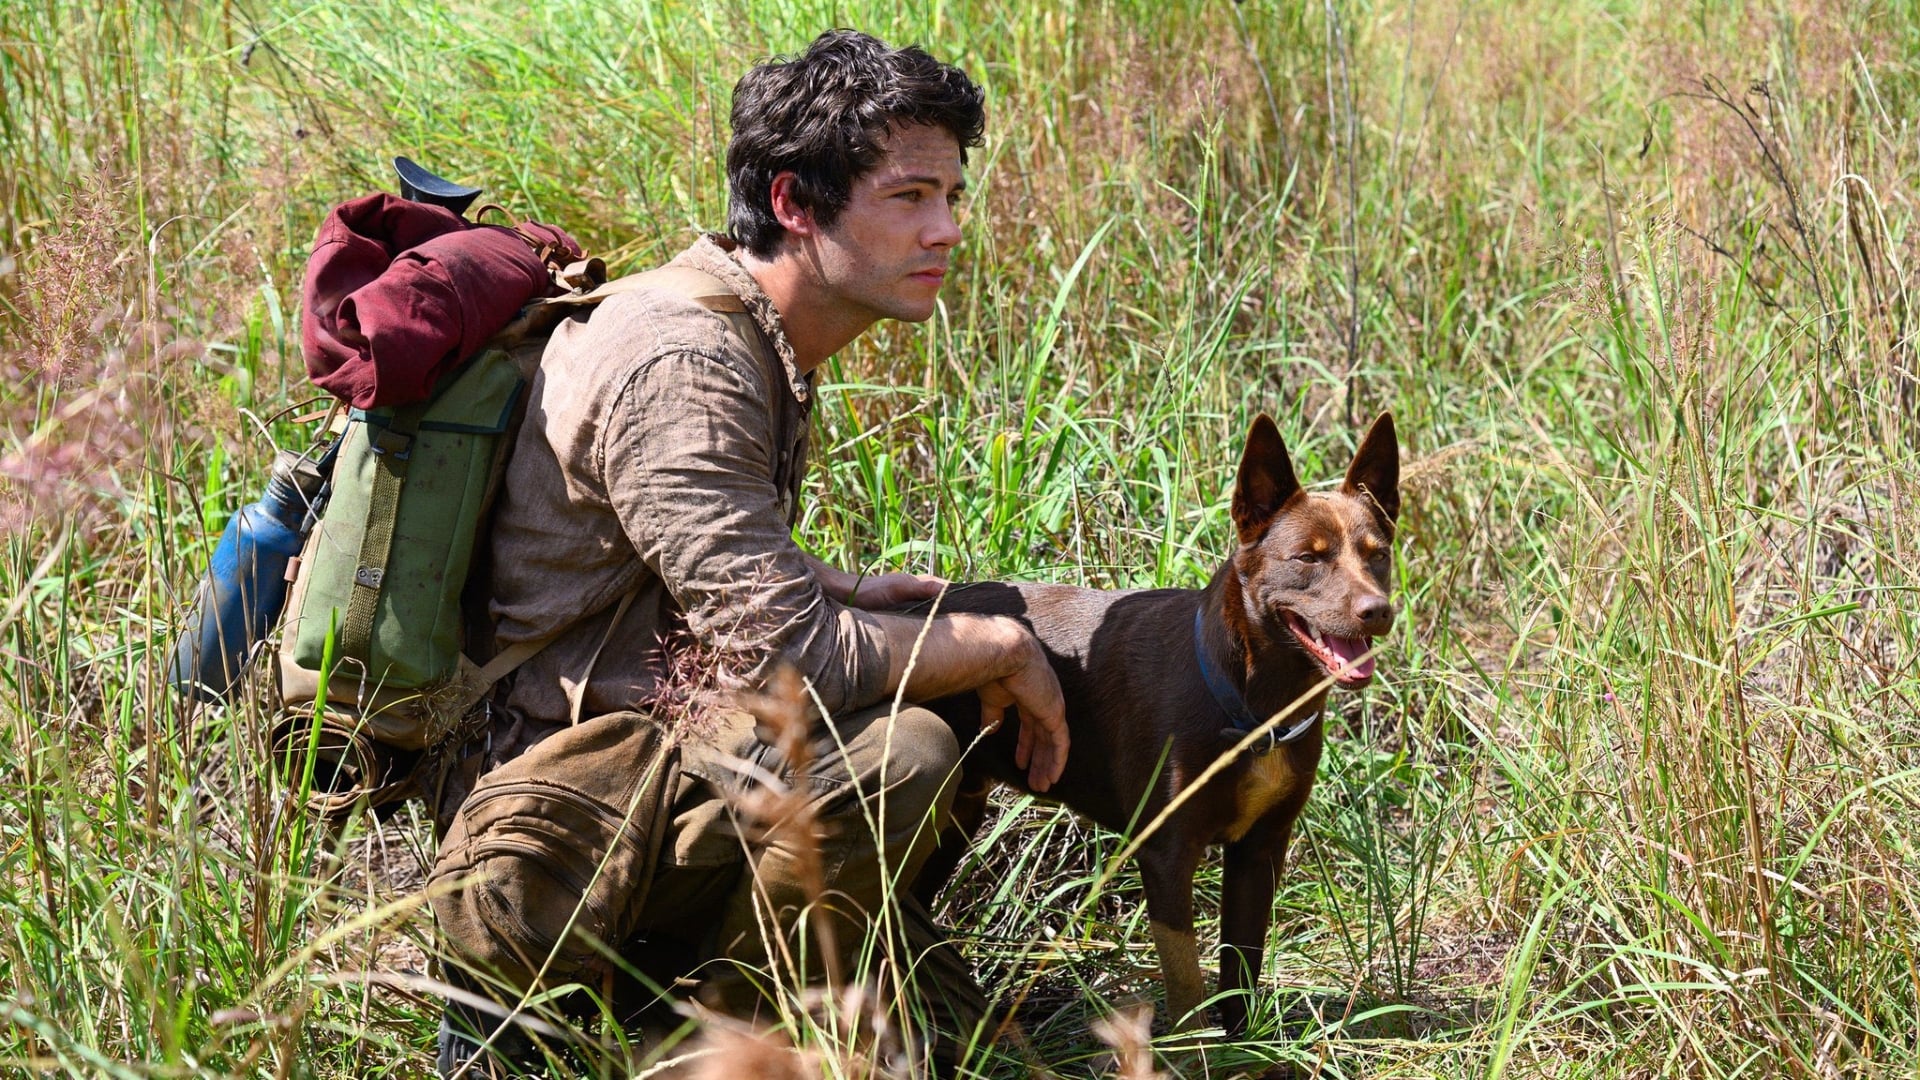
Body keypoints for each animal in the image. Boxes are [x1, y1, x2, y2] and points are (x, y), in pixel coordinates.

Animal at [913, 409, 1397, 1037]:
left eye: (1378, 554)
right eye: (1309, 558)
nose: (1377, 611)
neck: (1251, 706)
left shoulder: (1261, 849)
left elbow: (1241, 963)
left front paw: (1243, 1045)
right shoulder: (1167, 853)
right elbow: (1187, 981)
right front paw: (1199, 1050)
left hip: (957, 814)